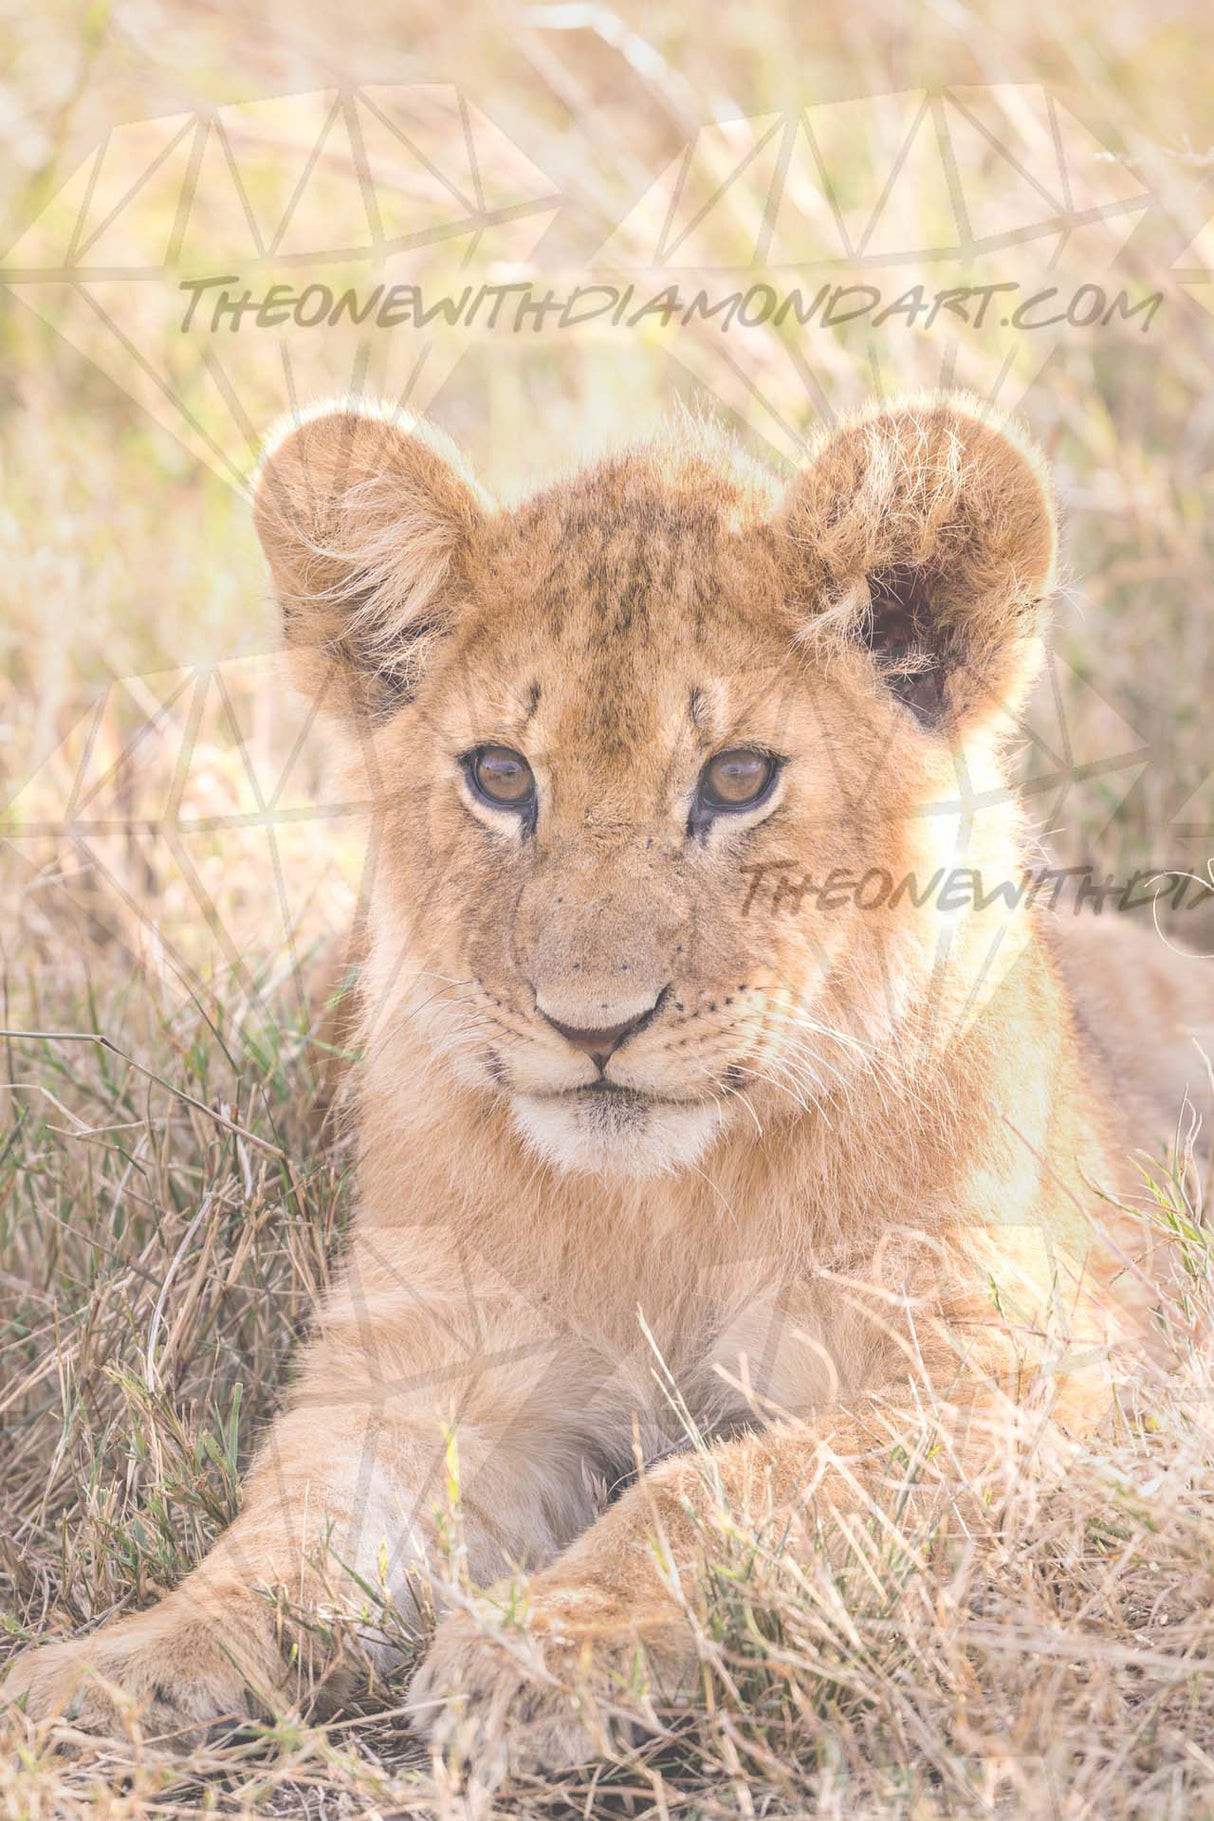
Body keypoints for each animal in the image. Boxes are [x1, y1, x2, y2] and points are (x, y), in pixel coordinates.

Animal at [5, 393, 1213, 1779]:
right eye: (500, 776)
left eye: (737, 779)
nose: (594, 1026)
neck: (662, 1212)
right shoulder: (424, 1363)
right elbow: (289, 1534)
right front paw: (116, 1666)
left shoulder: (1031, 1379)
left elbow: (719, 1488)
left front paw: (540, 1650)